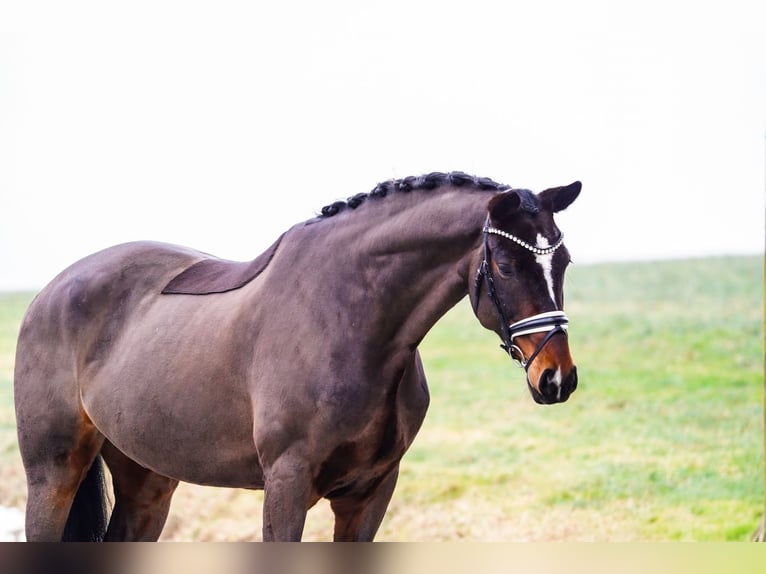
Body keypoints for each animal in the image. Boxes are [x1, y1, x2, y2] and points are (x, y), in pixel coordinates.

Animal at [14, 172, 581, 541]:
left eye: (565, 261)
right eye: (504, 264)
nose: (557, 379)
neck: (354, 321)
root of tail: (50, 291)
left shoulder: (370, 493)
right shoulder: (286, 485)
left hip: (147, 481)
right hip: (52, 475)